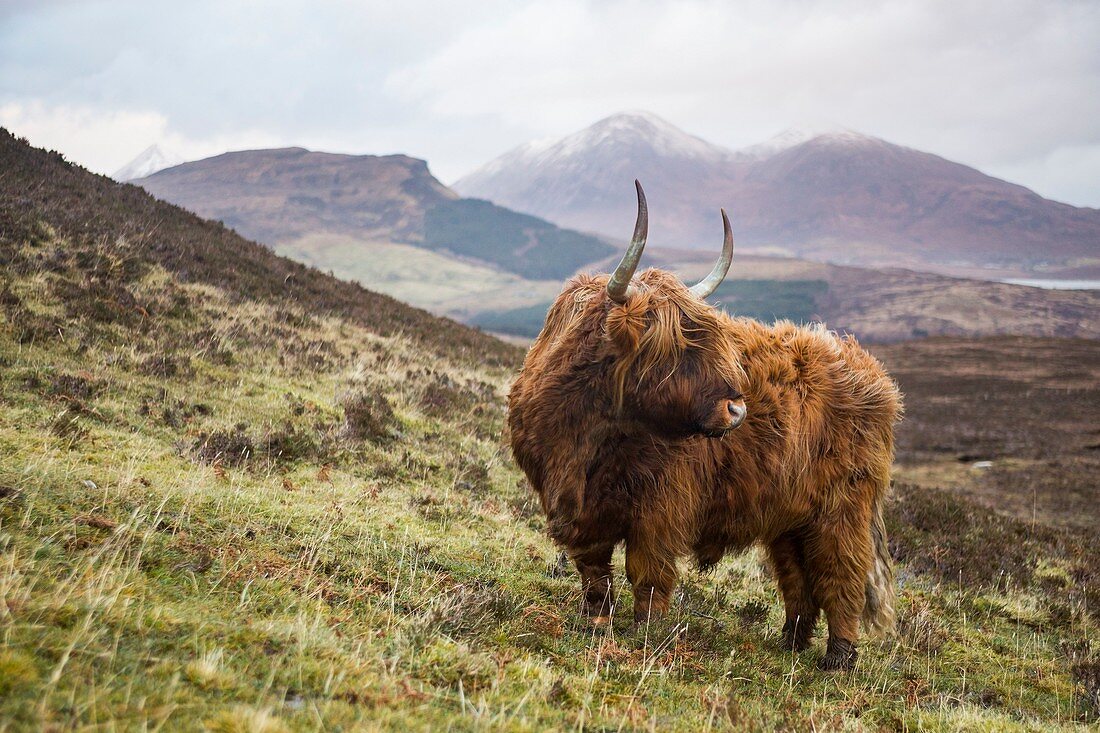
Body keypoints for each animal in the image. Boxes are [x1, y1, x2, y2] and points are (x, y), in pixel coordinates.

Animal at [506, 181, 902, 669]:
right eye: (674, 345)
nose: (737, 409)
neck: (587, 436)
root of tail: (871, 370)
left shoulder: (661, 506)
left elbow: (648, 571)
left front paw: (646, 632)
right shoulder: (575, 507)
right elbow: (594, 569)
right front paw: (596, 621)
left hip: (842, 509)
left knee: (840, 576)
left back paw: (838, 658)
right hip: (790, 515)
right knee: (798, 578)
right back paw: (790, 642)